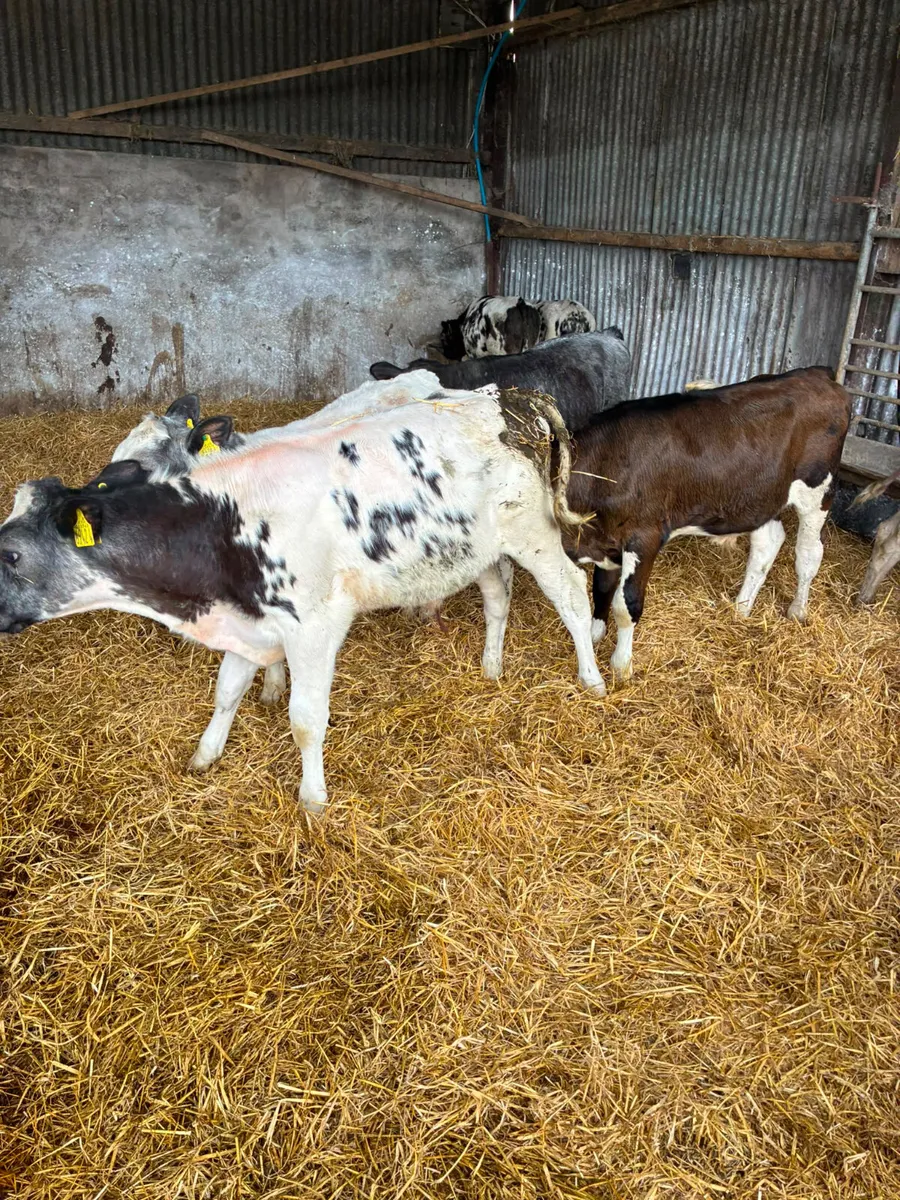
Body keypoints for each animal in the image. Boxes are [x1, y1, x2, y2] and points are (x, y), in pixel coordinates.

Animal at [0, 373, 604, 813]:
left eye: (11, 555)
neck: (225, 526)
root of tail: (508, 396)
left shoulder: (314, 626)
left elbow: (306, 719)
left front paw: (313, 799)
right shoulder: (248, 620)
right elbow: (226, 692)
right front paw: (205, 756)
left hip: (534, 534)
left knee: (573, 596)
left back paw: (593, 678)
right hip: (477, 547)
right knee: (498, 596)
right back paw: (491, 666)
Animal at [560, 367, 851, 682]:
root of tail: (816, 374)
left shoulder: (645, 536)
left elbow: (626, 604)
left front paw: (621, 666)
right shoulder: (607, 539)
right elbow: (601, 587)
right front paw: (595, 633)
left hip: (818, 490)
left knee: (809, 553)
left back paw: (797, 609)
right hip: (760, 495)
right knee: (768, 542)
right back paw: (741, 607)